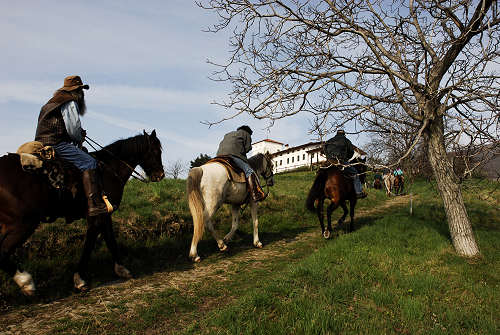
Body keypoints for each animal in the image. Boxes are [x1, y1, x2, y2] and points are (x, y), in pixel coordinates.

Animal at [0, 130, 164, 296]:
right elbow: (90, 244)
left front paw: (121, 269)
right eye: (156, 151)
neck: (108, 170)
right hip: (23, 224)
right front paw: (80, 279)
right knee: (3, 251)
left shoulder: (105, 215)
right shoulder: (97, 216)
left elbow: (110, 239)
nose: (160, 175)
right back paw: (26, 282)